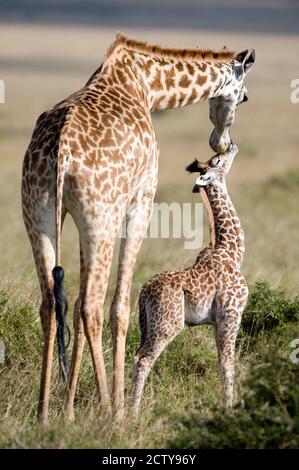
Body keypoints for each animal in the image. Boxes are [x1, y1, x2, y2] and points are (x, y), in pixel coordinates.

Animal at [131, 144, 248, 418]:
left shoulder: (217, 321)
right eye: (217, 160)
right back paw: (130, 415)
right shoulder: (232, 314)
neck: (233, 250)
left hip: (146, 325)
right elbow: (228, 363)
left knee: (135, 356)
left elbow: (220, 362)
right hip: (167, 325)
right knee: (143, 360)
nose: (233, 145)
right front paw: (230, 410)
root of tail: (144, 290)